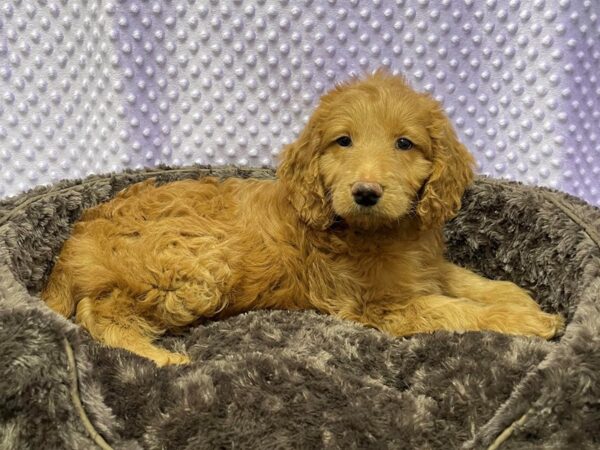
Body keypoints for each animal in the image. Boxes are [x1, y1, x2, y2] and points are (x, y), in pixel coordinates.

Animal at [42, 70, 564, 366]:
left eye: (404, 143)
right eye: (343, 141)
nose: (366, 193)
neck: (380, 232)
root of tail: (75, 241)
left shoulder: (426, 265)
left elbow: (467, 281)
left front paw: (520, 299)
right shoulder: (383, 307)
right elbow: (457, 310)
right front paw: (530, 321)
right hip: (193, 267)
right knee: (98, 315)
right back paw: (161, 359)